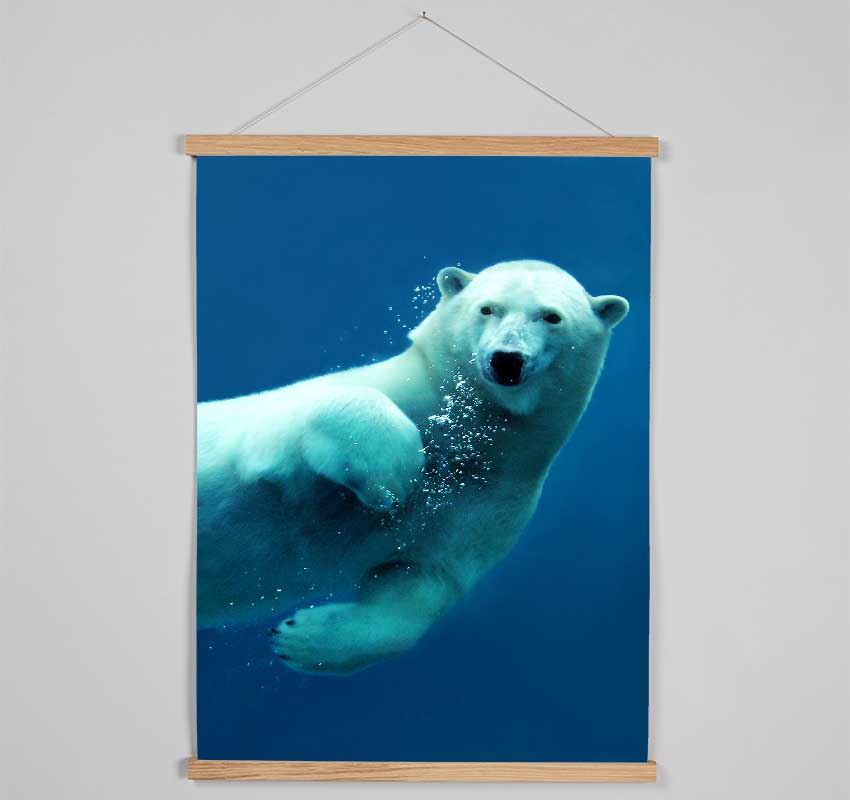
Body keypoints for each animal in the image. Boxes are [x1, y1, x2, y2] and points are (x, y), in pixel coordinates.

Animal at [197, 259, 628, 674]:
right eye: (488, 308)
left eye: (552, 316)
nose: (507, 360)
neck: (471, 431)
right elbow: (295, 422)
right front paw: (396, 474)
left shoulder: (494, 497)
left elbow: (420, 585)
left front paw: (299, 639)